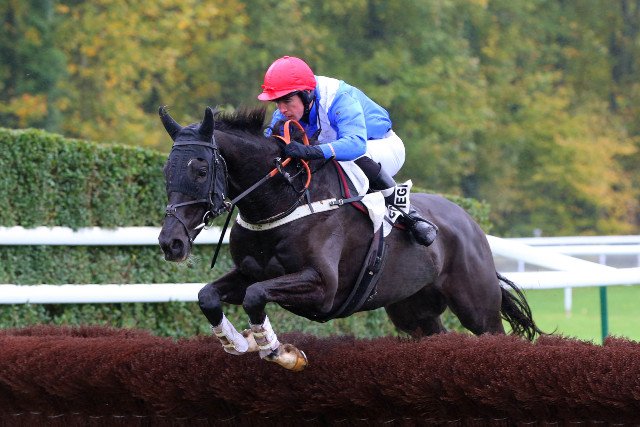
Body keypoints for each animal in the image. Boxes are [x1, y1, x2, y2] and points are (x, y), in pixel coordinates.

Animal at [157, 106, 542, 371]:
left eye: (201, 170)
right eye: (165, 170)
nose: (170, 242)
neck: (284, 201)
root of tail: (470, 221)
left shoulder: (323, 287)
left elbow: (255, 296)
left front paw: (278, 351)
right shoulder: (250, 272)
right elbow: (209, 295)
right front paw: (238, 342)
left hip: (477, 306)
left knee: (493, 334)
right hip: (413, 310)